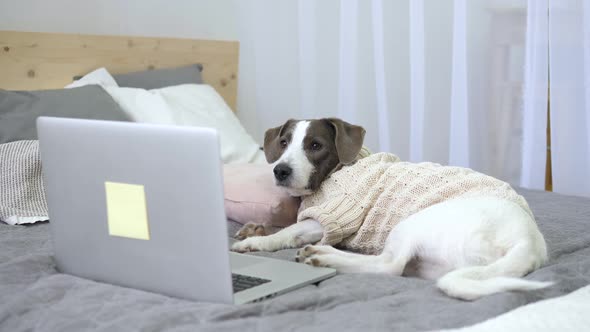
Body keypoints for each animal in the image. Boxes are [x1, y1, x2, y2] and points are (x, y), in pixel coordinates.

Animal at [230, 118, 552, 300]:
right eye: (283, 142)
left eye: (316, 145)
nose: (280, 170)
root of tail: (528, 242)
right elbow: (283, 226)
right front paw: (254, 229)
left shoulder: (328, 219)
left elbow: (288, 231)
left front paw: (255, 242)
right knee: (389, 264)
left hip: (411, 225)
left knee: (389, 266)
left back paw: (326, 257)